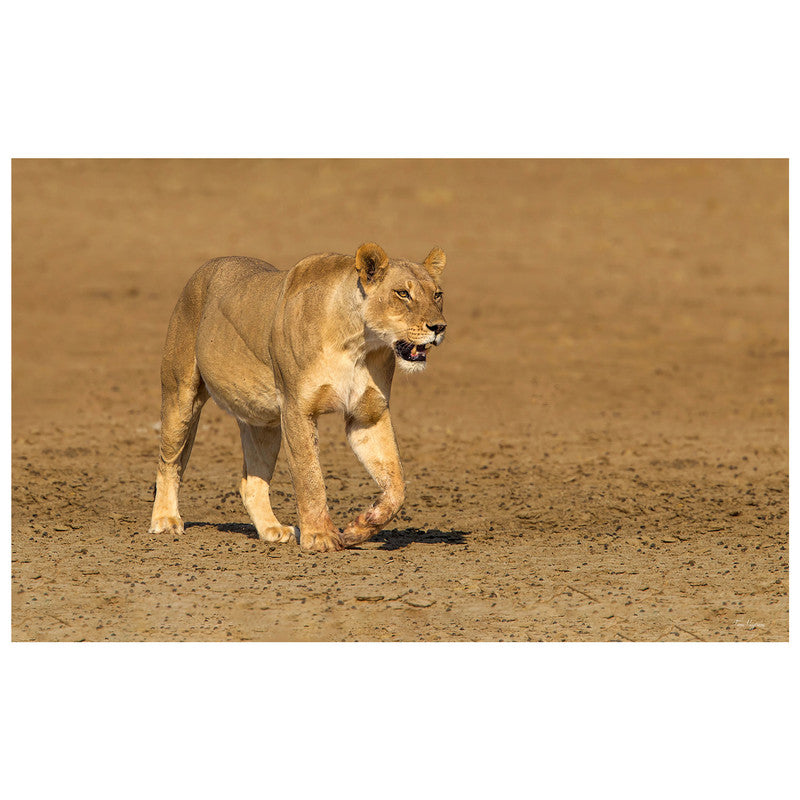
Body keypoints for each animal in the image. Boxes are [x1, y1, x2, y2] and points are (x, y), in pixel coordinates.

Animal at [148, 242, 447, 552]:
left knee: (250, 482)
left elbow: (396, 483)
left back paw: (272, 529)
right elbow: (309, 476)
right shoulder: (297, 409)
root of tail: (206, 268)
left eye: (437, 294)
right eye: (403, 294)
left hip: (262, 424)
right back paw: (166, 520)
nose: (439, 327)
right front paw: (320, 535)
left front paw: (360, 527)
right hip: (180, 395)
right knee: (168, 462)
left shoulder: (368, 415)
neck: (357, 342)